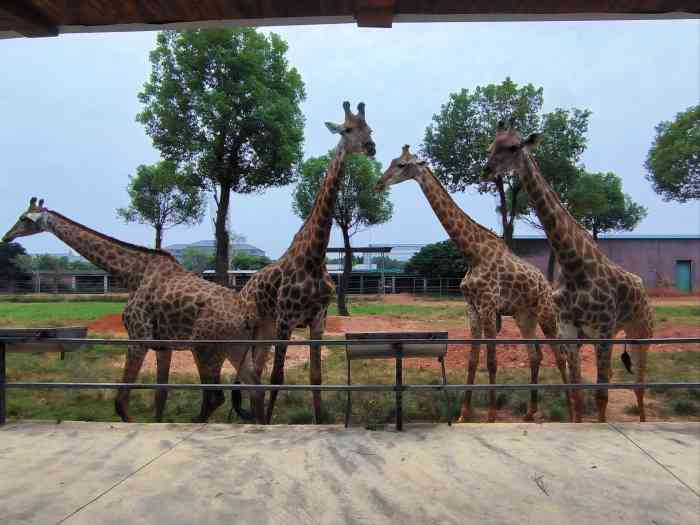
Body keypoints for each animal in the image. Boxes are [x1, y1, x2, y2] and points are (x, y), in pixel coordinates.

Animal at [2, 196, 266, 422]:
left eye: (24, 218)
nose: (7, 236)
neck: (133, 274)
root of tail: (247, 315)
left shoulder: (138, 337)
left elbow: (121, 400)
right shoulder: (163, 345)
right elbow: (161, 395)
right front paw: (157, 422)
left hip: (205, 347)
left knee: (215, 396)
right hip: (235, 347)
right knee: (254, 387)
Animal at [239, 100, 374, 424]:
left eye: (370, 129)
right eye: (347, 129)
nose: (371, 147)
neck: (314, 257)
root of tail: (244, 288)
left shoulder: (318, 320)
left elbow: (315, 376)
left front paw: (320, 419)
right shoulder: (286, 320)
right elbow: (277, 377)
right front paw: (270, 423)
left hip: (264, 328)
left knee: (255, 371)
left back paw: (255, 415)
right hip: (253, 326)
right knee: (252, 373)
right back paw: (255, 418)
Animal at [374, 144, 572, 422]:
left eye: (402, 165)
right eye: (392, 161)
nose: (379, 184)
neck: (472, 253)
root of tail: (547, 284)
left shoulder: (488, 306)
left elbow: (491, 361)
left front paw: (490, 415)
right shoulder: (472, 308)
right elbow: (473, 360)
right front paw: (463, 414)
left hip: (544, 313)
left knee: (560, 354)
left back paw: (573, 411)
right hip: (524, 316)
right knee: (535, 355)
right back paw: (530, 412)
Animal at [484, 119, 652, 422]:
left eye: (513, 147)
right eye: (490, 145)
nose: (486, 170)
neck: (573, 265)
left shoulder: (605, 328)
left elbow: (600, 395)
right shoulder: (570, 330)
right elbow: (577, 393)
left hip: (641, 331)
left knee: (639, 383)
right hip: (601, 336)